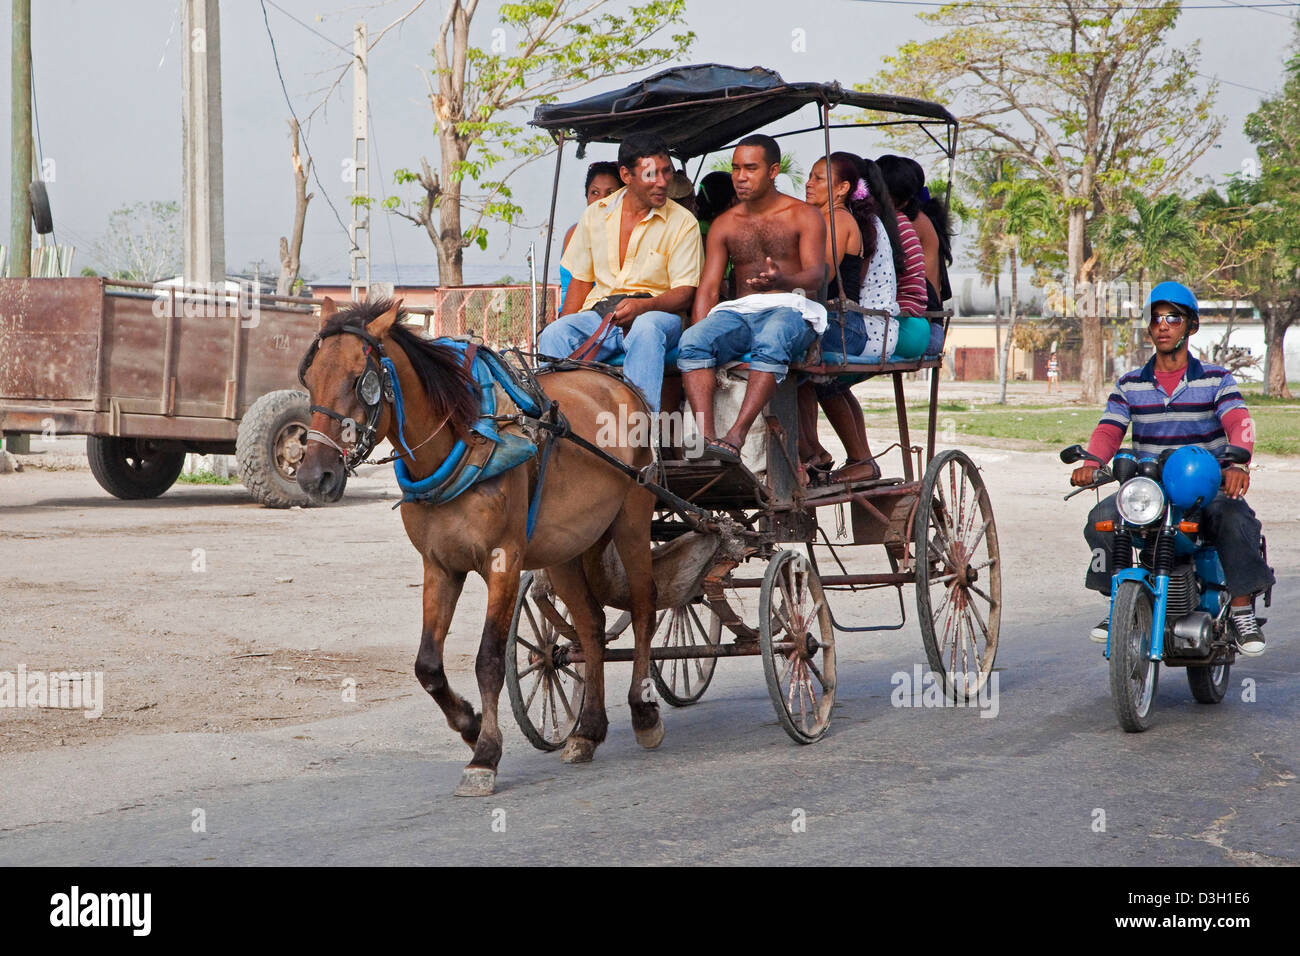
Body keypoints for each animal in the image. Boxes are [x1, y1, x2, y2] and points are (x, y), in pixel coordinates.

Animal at [295, 300, 660, 801]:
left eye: (359, 380)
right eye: (310, 378)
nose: (315, 477)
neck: (465, 439)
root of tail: (617, 379)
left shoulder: (504, 562)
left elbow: (489, 659)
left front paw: (485, 755)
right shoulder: (439, 565)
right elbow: (427, 664)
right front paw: (469, 724)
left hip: (633, 519)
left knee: (643, 608)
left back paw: (643, 712)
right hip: (566, 548)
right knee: (590, 625)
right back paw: (587, 730)